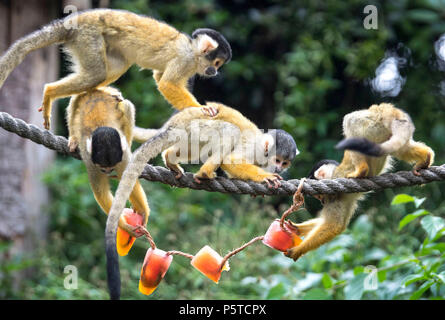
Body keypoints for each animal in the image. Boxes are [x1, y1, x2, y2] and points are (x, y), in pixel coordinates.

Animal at [1, 8, 232, 129]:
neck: (194, 51)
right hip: (88, 35)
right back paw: (50, 92)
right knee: (96, 73)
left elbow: (160, 77)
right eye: (217, 63)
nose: (215, 72)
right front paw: (200, 108)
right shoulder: (185, 59)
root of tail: (73, 20)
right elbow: (167, 83)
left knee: (116, 65)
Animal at [104, 102, 298, 298]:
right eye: (277, 160)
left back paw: (171, 160)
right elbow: (231, 160)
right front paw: (264, 177)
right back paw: (205, 172)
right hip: (197, 130)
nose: (279, 168)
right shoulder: (255, 149)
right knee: (230, 131)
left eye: (284, 163)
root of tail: (174, 125)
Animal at [284, 104, 434, 262]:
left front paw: (297, 250)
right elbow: (337, 223)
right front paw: (296, 228)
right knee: (399, 147)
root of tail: (386, 110)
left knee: (350, 122)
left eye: (319, 195)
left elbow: (334, 225)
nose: (322, 201)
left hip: (370, 124)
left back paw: (361, 170)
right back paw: (425, 158)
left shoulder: (336, 195)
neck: (334, 174)